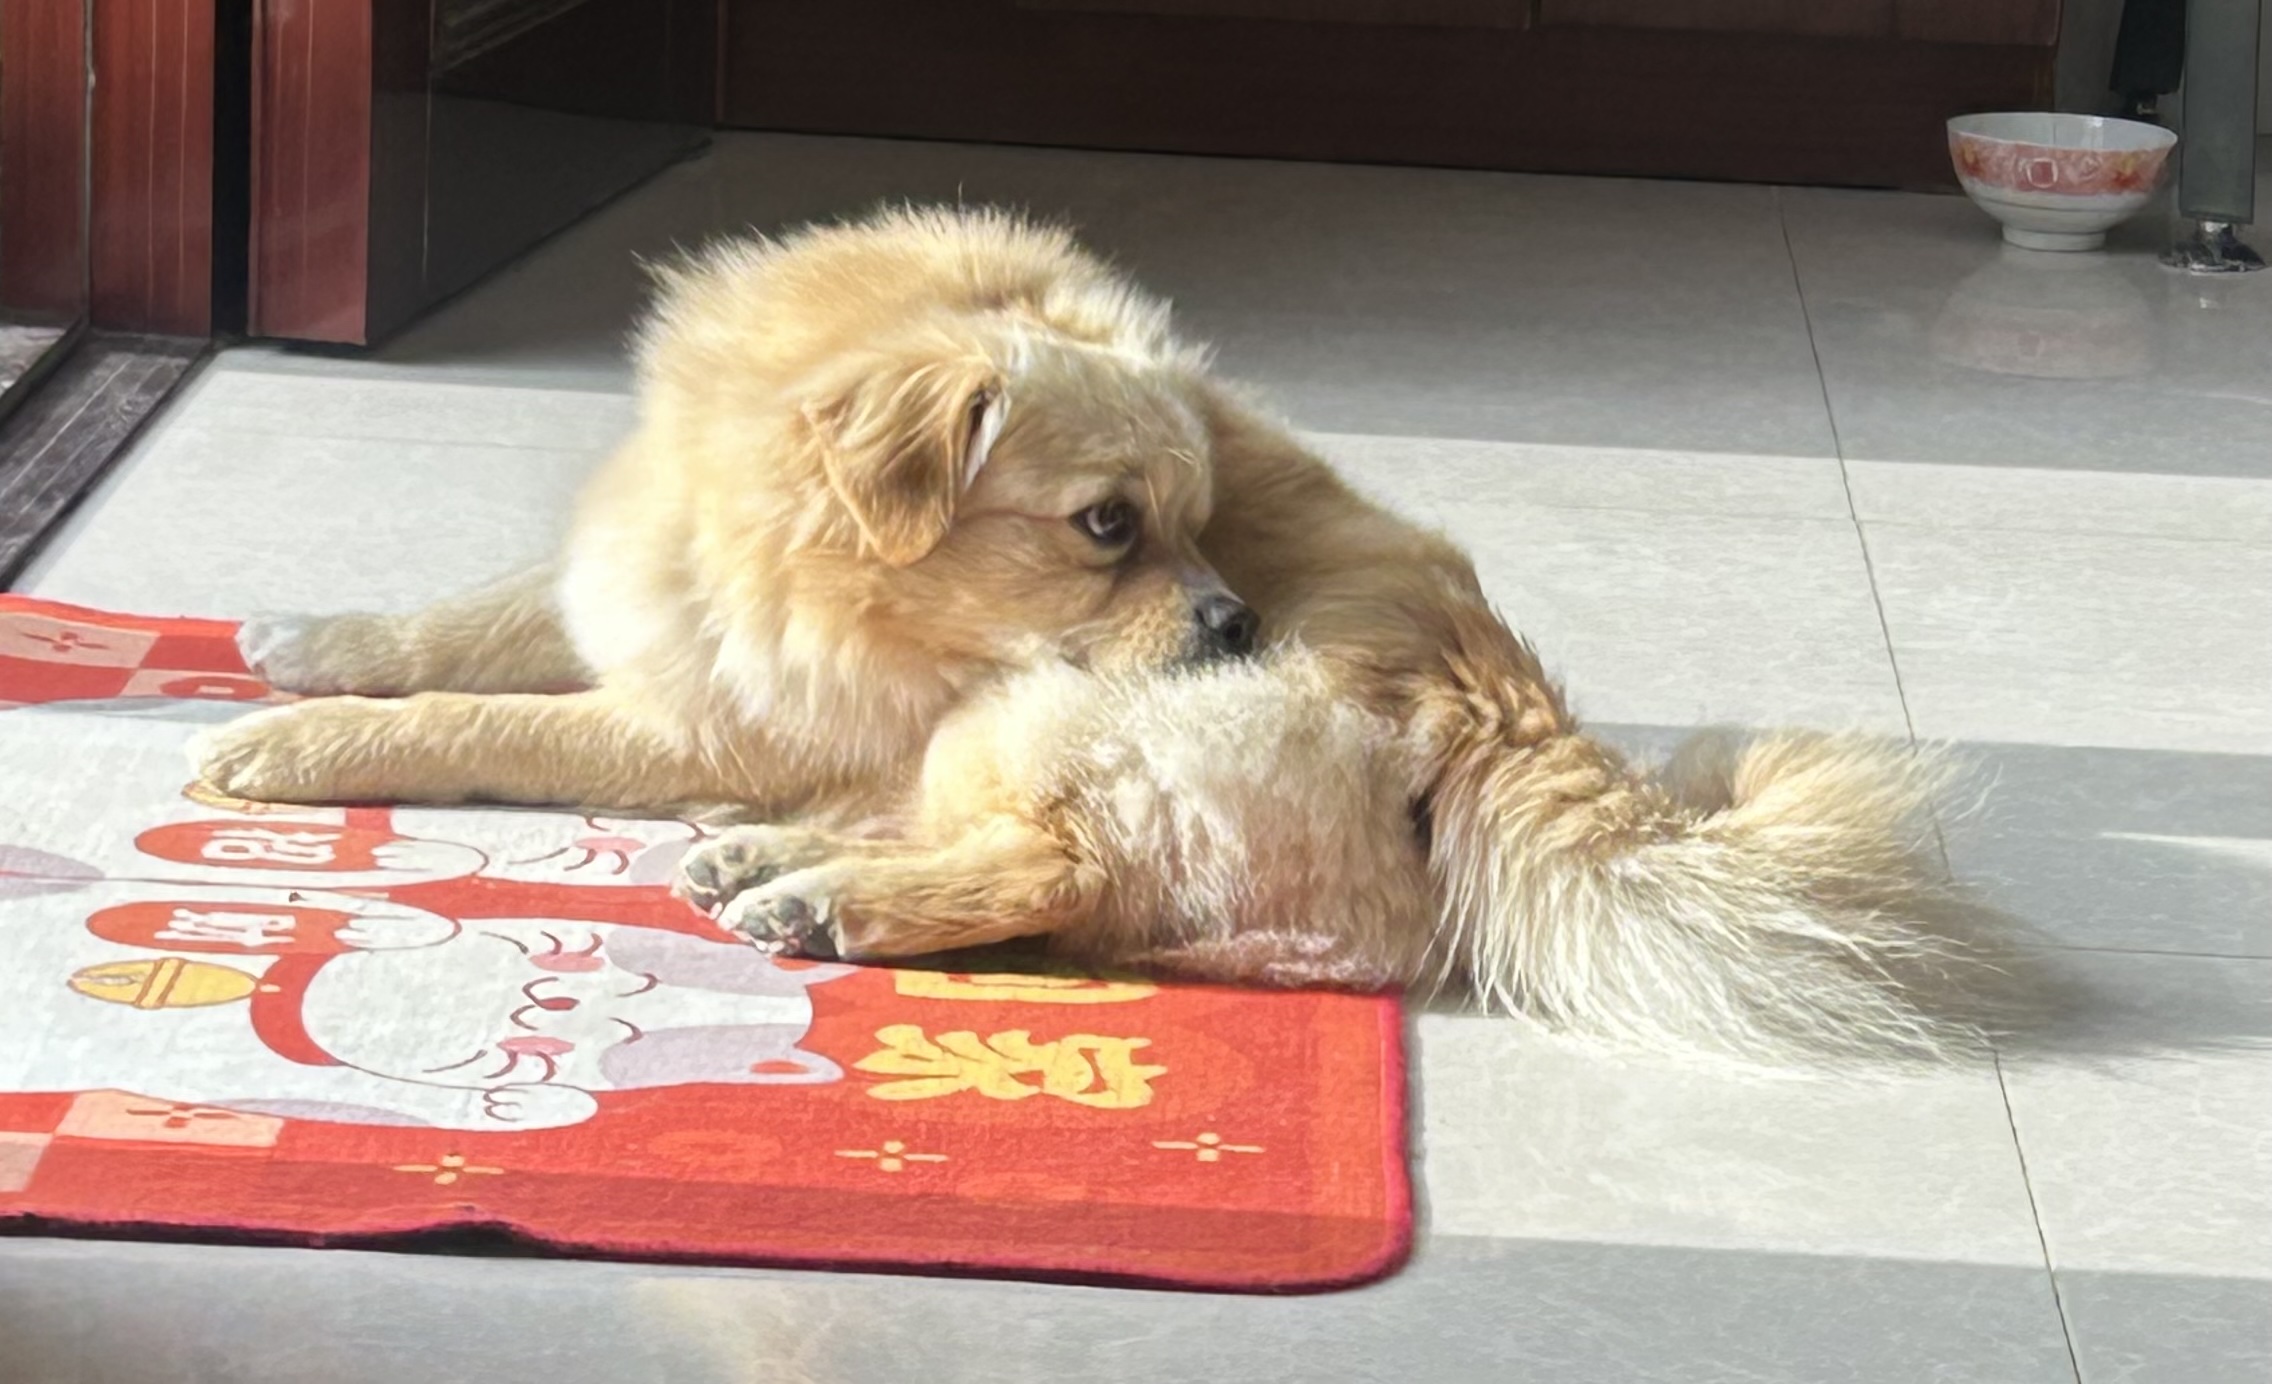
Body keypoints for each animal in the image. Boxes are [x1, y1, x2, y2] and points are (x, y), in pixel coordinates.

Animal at [195, 207, 1980, 1063]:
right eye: (1112, 523)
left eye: (1198, 517)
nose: (1238, 619)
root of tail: (1505, 712)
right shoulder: (651, 595)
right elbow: (476, 619)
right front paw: (307, 640)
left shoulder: (703, 714)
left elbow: (485, 720)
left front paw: (289, 745)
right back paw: (768, 864)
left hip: (1034, 724)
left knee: (1052, 871)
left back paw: (823, 904)